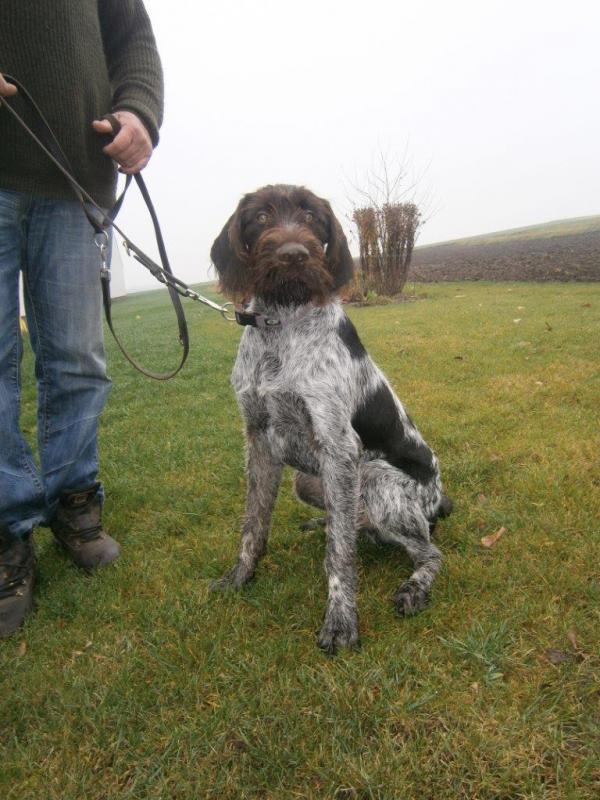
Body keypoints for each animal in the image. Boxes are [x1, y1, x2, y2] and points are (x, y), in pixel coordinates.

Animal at [210, 184, 452, 653]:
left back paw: (413, 588)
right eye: (261, 216)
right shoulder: (259, 439)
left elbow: (338, 554)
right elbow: (253, 525)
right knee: (350, 522)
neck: (281, 323)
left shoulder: (339, 447)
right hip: (310, 481)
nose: (293, 254)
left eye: (312, 217)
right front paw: (240, 577)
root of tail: (439, 500)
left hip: (376, 480)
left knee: (429, 551)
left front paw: (340, 620)